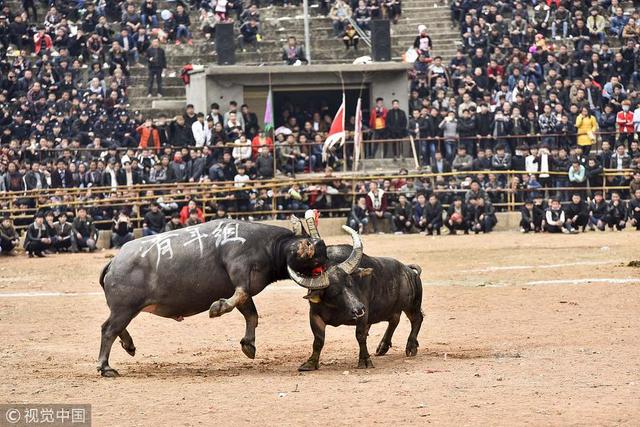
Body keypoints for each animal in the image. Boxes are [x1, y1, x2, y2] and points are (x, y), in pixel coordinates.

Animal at [97, 214, 362, 378]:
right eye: (317, 260)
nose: (325, 266)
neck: (269, 247)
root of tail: (114, 262)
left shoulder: (244, 288)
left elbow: (251, 313)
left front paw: (248, 345)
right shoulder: (239, 271)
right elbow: (239, 298)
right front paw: (217, 309)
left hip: (126, 309)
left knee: (114, 327)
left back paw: (129, 345)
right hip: (125, 308)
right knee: (108, 329)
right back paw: (105, 366)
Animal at [290, 227, 424, 372]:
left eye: (350, 282)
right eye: (334, 291)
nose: (358, 309)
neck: (337, 307)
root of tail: (409, 270)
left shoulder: (363, 317)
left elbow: (360, 336)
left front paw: (365, 360)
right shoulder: (315, 315)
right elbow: (318, 340)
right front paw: (310, 363)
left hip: (412, 304)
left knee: (417, 319)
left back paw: (411, 346)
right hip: (391, 308)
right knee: (394, 320)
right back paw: (383, 347)